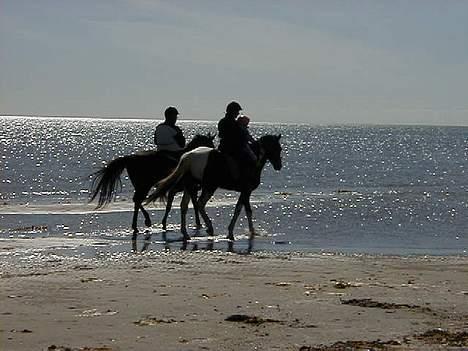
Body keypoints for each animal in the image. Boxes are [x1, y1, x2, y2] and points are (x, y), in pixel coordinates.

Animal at [146, 133, 284, 241]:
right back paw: (209, 227)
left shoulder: (245, 192)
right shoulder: (246, 191)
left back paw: (186, 233)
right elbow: (241, 210)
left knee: (184, 205)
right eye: (276, 148)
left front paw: (251, 231)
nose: (279, 166)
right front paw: (234, 232)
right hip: (209, 187)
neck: (254, 161)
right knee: (200, 204)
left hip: (191, 186)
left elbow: (245, 209)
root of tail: (189, 156)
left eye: (280, 149)